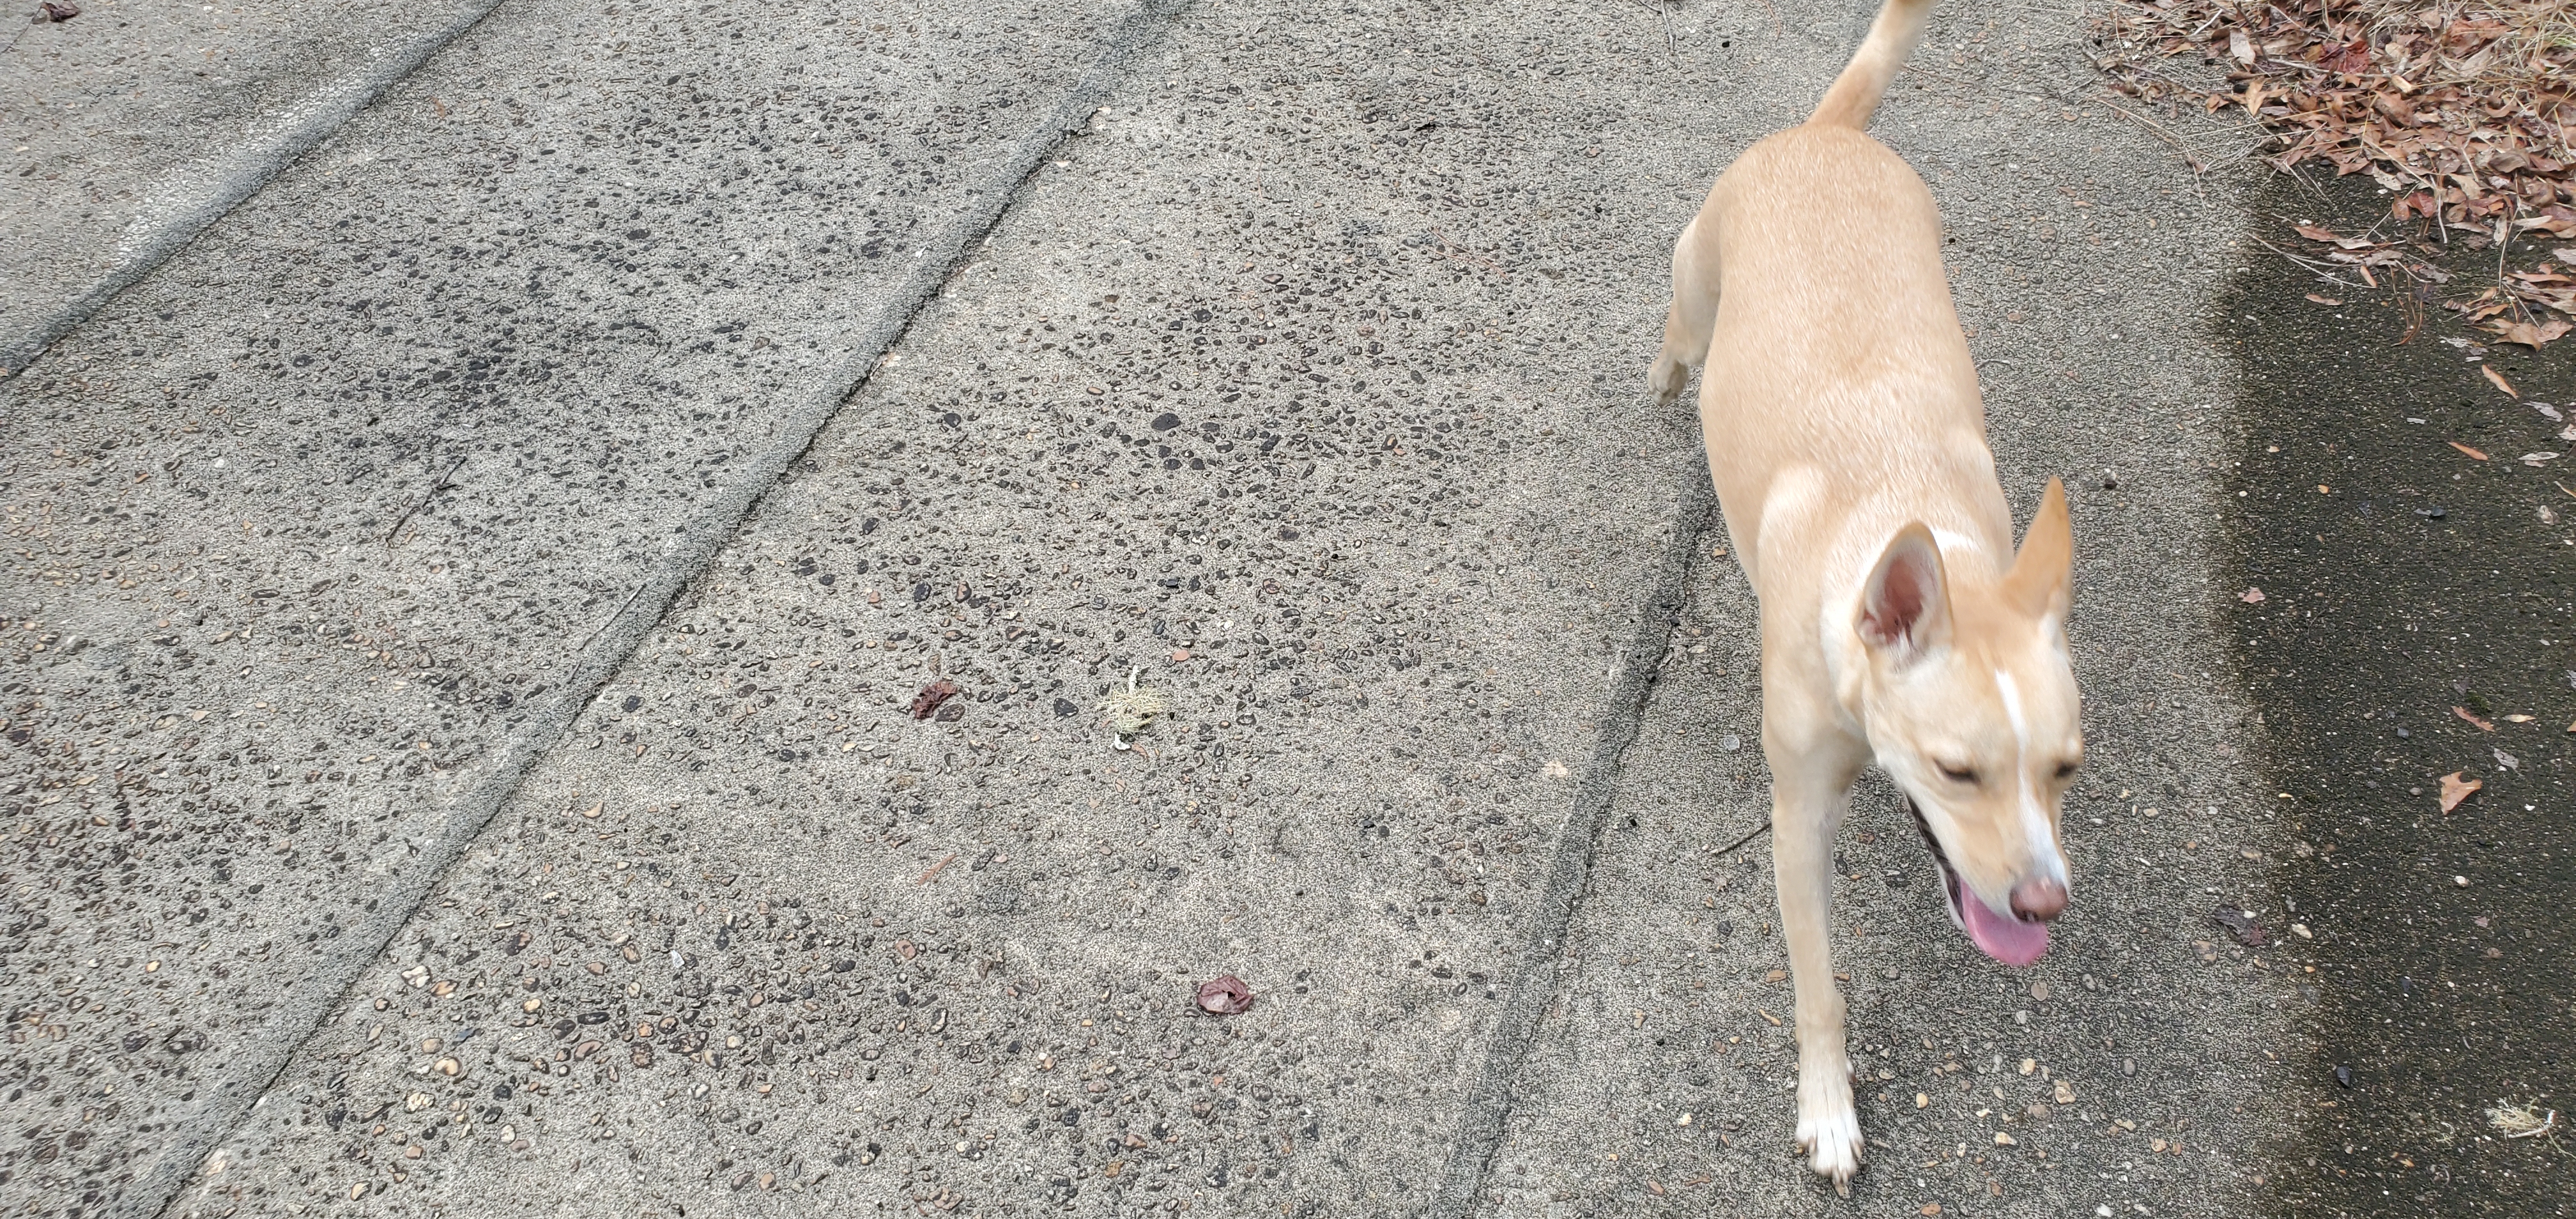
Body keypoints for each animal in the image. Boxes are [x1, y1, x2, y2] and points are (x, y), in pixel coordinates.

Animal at [1659, 0, 2081, 1185]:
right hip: (1697, 277)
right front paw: (1829, 1106)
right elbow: (1818, 989)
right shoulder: (1796, 822)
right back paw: (1665, 380)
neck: (1902, 505)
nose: (2043, 903)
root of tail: (1827, 134)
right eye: (1957, 769)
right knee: (1676, 336)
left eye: (2065, 769)